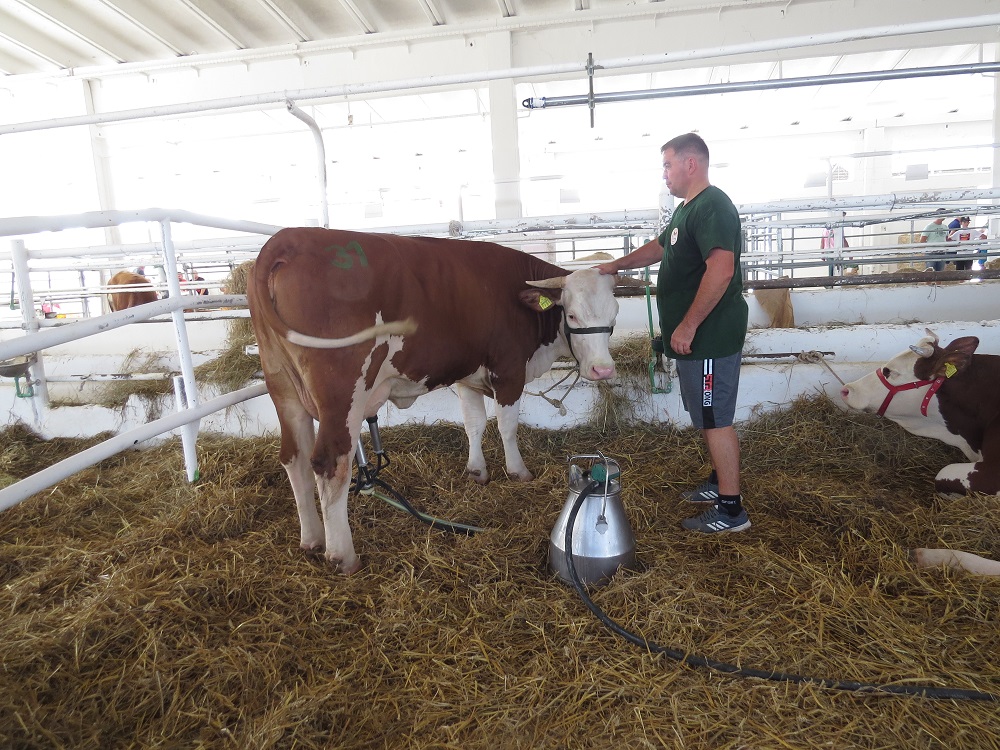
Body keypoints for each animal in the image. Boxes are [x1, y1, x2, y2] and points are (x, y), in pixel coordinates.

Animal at [246, 226, 628, 572]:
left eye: (614, 315)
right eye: (572, 314)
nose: (603, 369)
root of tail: (288, 238)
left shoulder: (468, 375)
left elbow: (474, 424)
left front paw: (477, 471)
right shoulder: (508, 371)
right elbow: (506, 426)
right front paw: (518, 472)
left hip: (282, 385)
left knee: (294, 457)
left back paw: (311, 539)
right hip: (342, 392)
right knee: (330, 462)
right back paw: (343, 556)